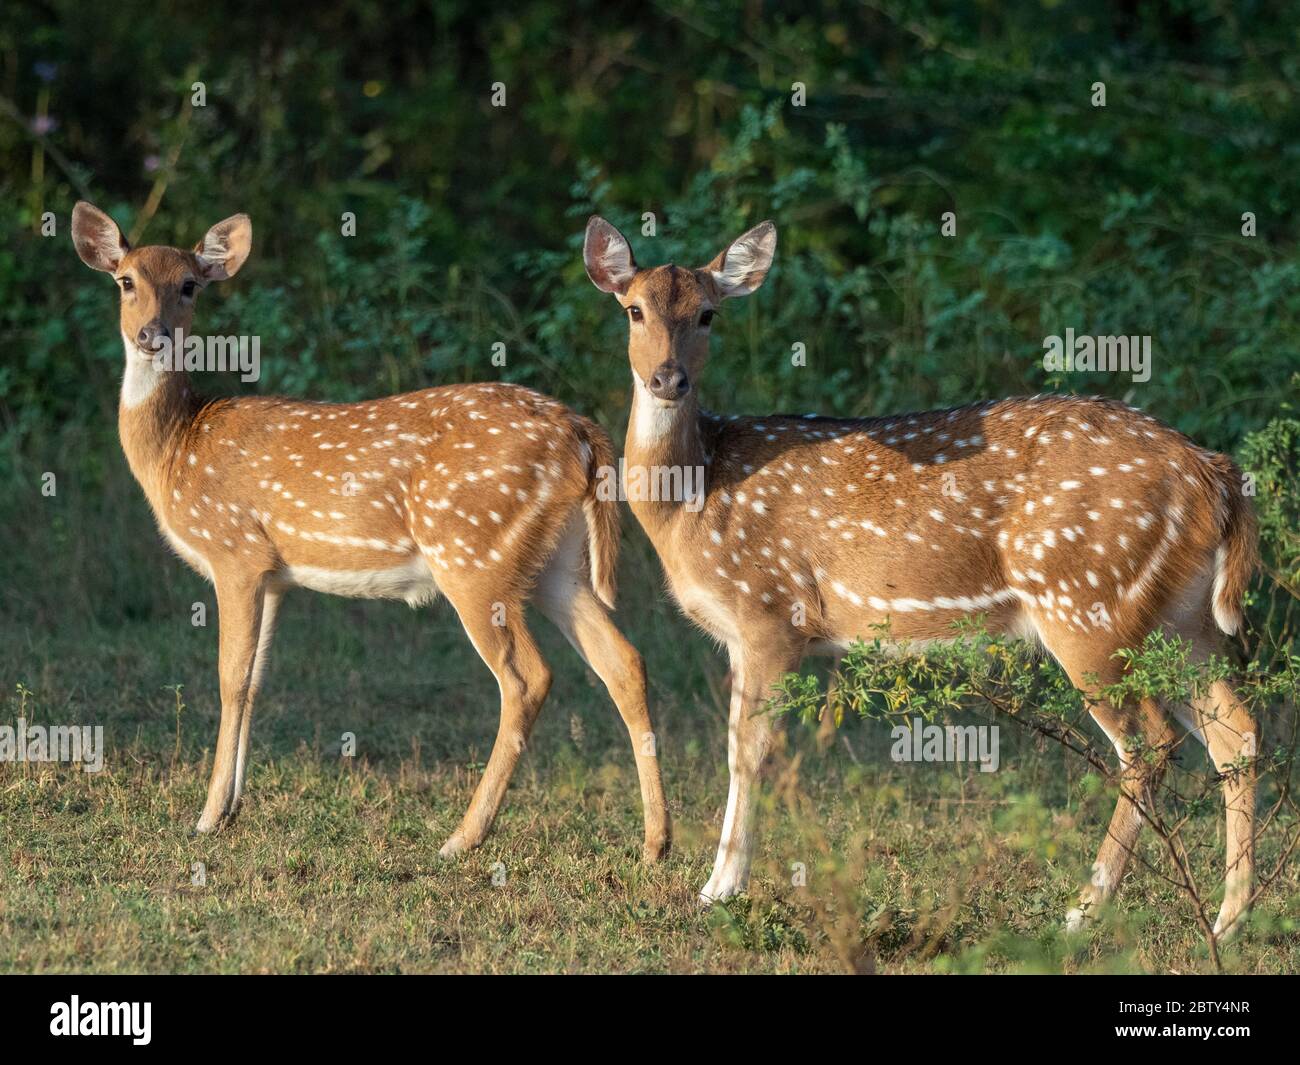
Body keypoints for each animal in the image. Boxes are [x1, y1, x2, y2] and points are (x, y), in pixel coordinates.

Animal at [70, 201, 670, 863]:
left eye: (188, 285)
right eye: (126, 281)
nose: (152, 334)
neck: (178, 448)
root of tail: (583, 434)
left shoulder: (235, 551)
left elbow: (229, 678)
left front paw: (204, 817)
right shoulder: (274, 574)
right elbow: (255, 681)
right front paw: (230, 810)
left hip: (471, 554)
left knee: (527, 678)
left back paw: (462, 837)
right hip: (557, 564)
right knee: (625, 661)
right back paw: (655, 842)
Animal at [583, 214, 1258, 937]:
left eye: (708, 313)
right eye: (634, 309)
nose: (667, 378)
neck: (694, 495)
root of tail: (1213, 473)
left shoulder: (771, 611)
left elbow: (749, 752)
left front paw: (719, 889)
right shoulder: (744, 634)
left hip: (1085, 602)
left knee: (1152, 741)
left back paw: (1083, 909)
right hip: (1180, 617)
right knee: (1236, 731)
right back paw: (1229, 918)